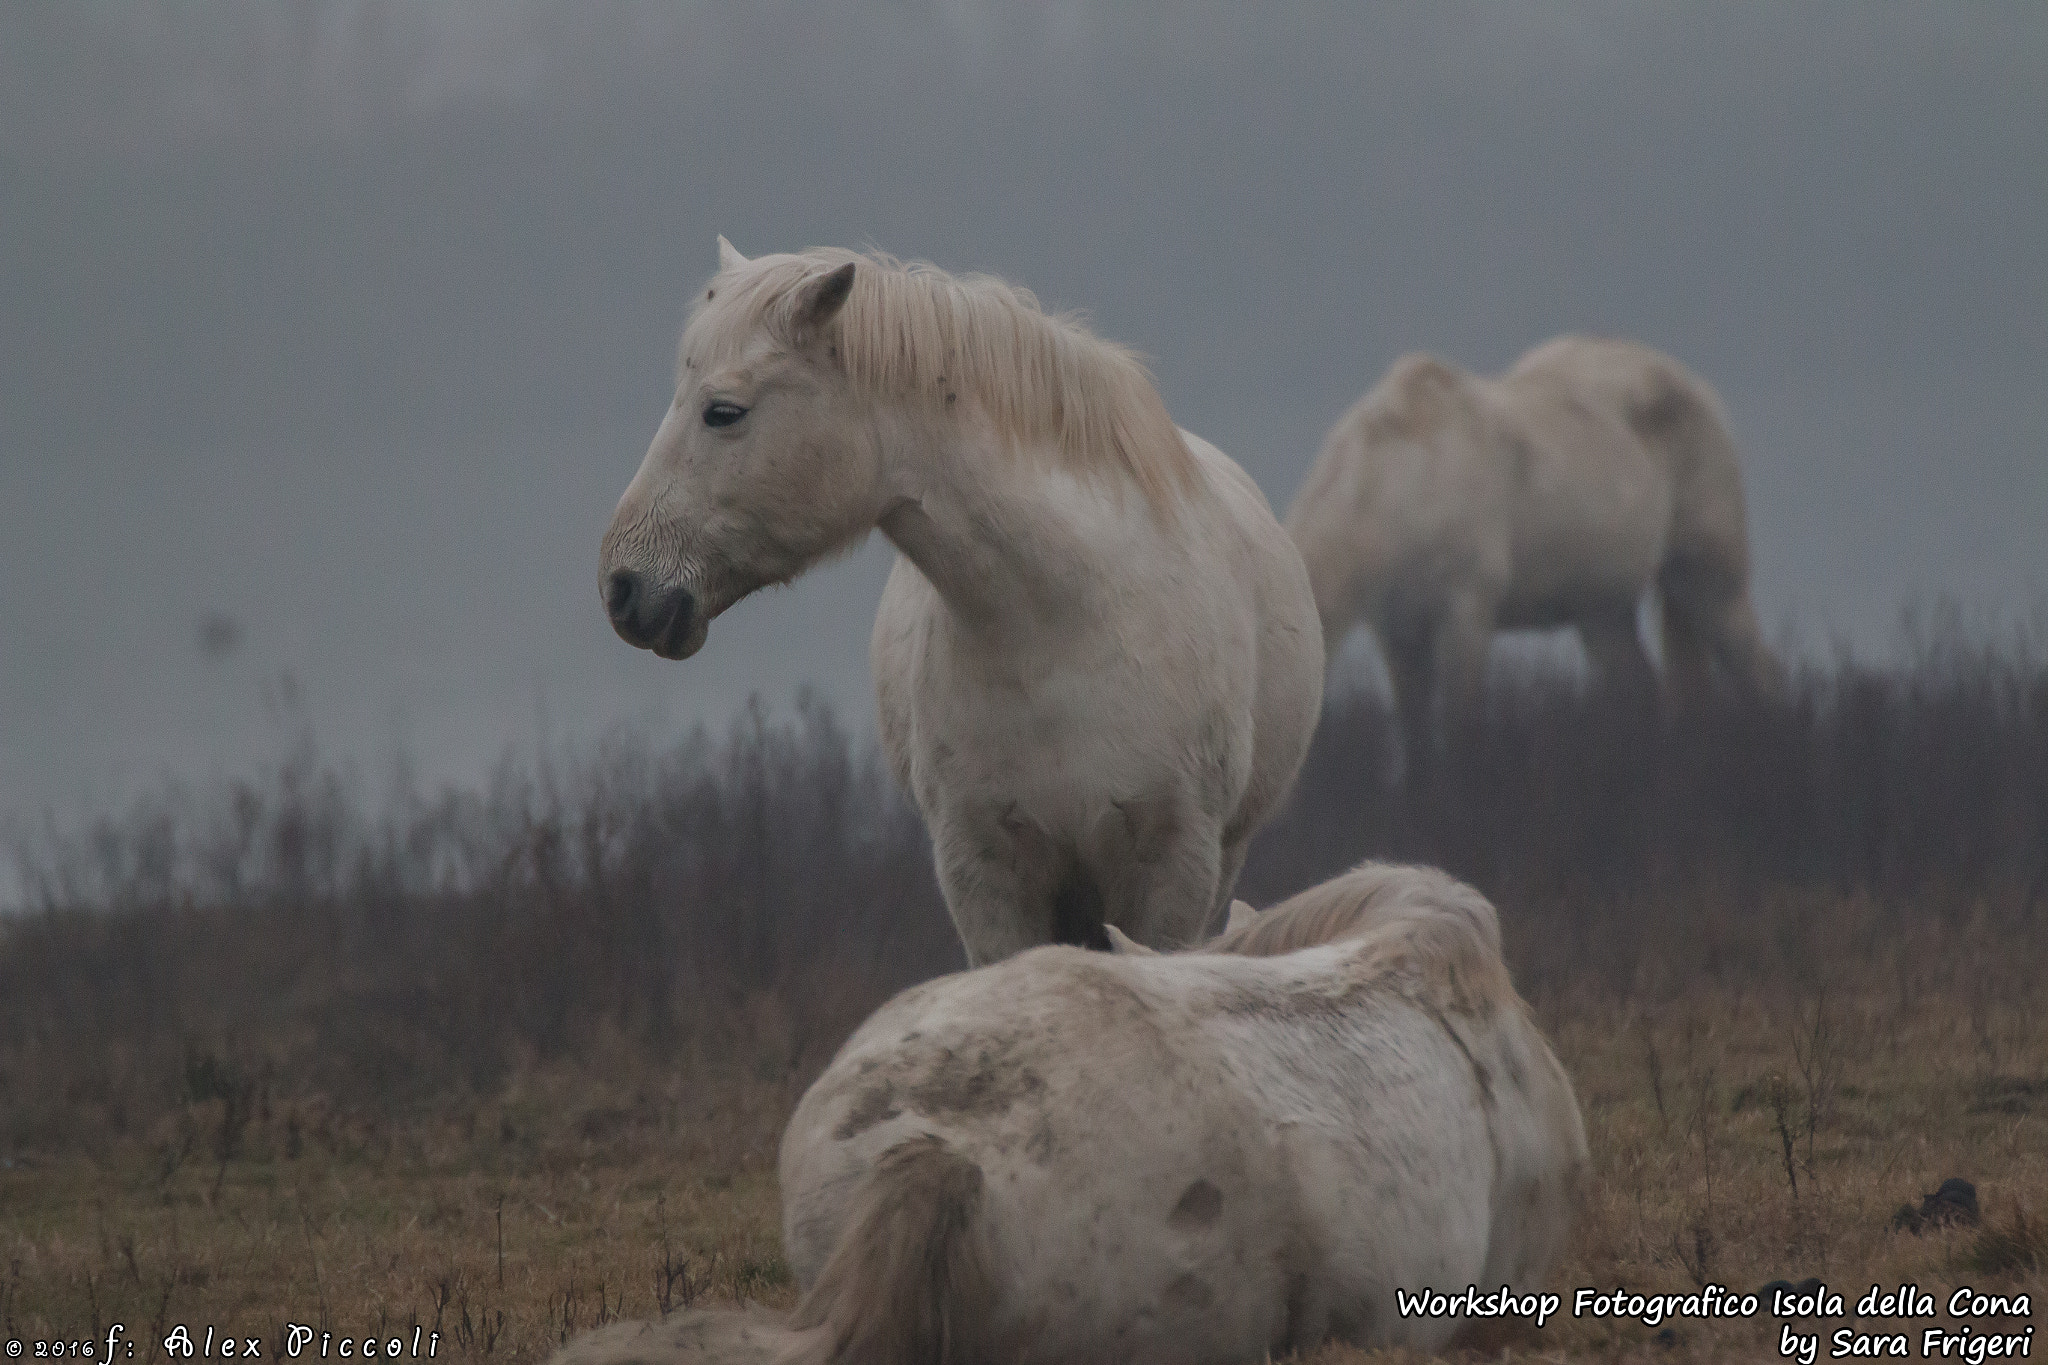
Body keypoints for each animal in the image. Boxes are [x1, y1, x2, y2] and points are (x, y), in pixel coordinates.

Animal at [1286, 337, 1785, 773]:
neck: (1396, 482)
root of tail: (1693, 386)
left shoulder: (1465, 613)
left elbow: (1460, 723)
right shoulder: (1397, 629)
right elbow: (1415, 736)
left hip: (1710, 584)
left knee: (1757, 671)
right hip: (1603, 612)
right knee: (1642, 689)